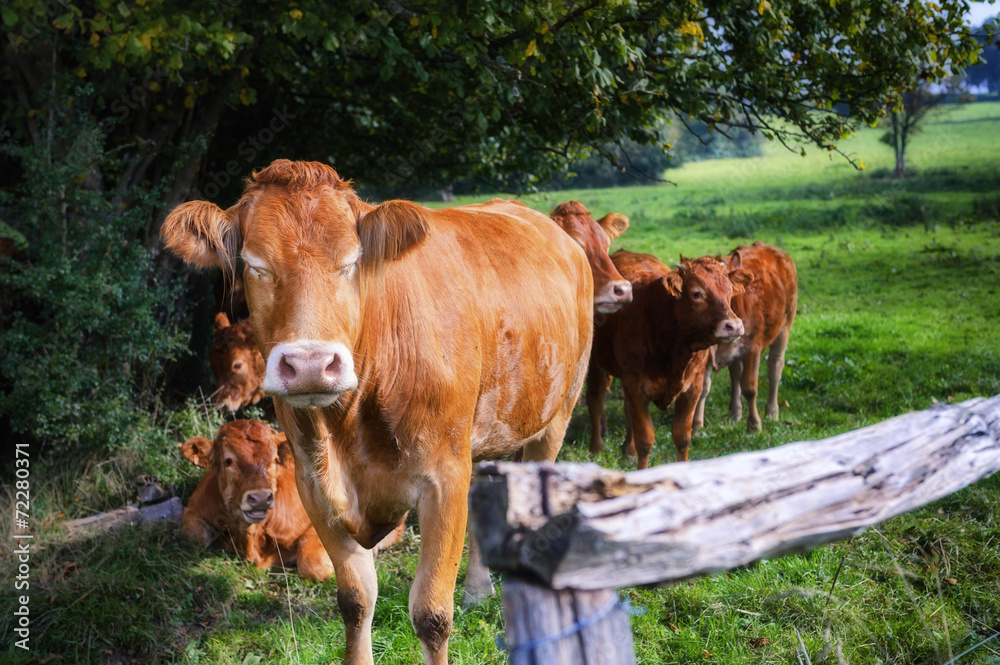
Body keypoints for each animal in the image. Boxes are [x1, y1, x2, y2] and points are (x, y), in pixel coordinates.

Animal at [179, 420, 336, 580]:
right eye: (228, 461)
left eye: (275, 460)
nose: (261, 498)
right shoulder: (194, 508)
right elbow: (196, 536)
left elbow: (313, 566)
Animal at [584, 249, 752, 466]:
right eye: (697, 293)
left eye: (730, 290)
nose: (734, 326)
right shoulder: (636, 386)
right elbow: (645, 440)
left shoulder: (693, 387)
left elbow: (682, 437)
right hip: (596, 362)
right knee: (595, 399)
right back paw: (596, 447)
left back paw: (628, 450)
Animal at [696, 241, 796, 434]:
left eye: (728, 287)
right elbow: (702, 389)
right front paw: (696, 426)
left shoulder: (753, 347)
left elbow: (750, 388)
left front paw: (754, 425)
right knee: (736, 374)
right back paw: (735, 412)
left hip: (785, 325)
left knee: (775, 367)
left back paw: (772, 411)